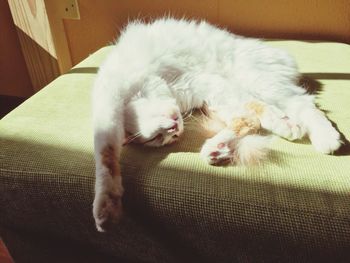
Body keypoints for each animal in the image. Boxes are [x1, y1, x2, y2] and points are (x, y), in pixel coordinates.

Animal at [91, 18, 340, 233]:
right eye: (158, 139)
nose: (173, 131)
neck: (148, 87)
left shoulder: (111, 107)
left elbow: (104, 156)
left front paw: (104, 208)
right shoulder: (198, 87)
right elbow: (252, 116)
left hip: (257, 80)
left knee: (304, 106)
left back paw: (326, 139)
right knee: (258, 116)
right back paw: (218, 149)